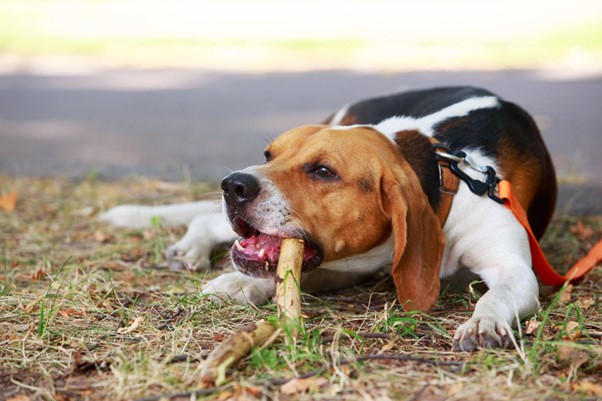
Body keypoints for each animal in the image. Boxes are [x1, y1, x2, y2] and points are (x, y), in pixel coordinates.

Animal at [101, 86, 556, 350]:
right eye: (269, 154)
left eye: (323, 171)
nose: (232, 185)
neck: (444, 177)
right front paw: (241, 284)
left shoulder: (515, 270)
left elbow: (497, 293)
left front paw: (483, 323)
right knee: (207, 223)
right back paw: (192, 251)